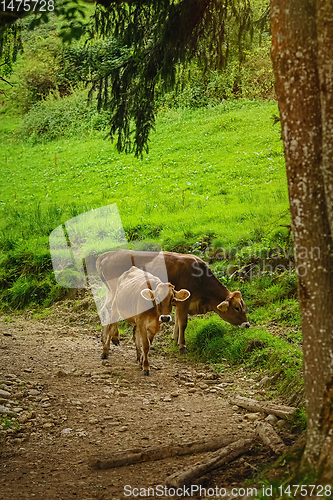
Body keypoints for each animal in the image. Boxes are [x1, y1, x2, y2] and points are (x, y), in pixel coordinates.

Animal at [94, 249, 248, 352]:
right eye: (237, 308)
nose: (247, 325)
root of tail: (108, 254)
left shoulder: (179, 301)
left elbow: (178, 322)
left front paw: (174, 340)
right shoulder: (184, 302)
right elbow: (183, 323)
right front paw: (182, 345)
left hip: (110, 292)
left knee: (104, 309)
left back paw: (104, 337)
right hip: (115, 292)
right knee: (111, 310)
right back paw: (114, 337)